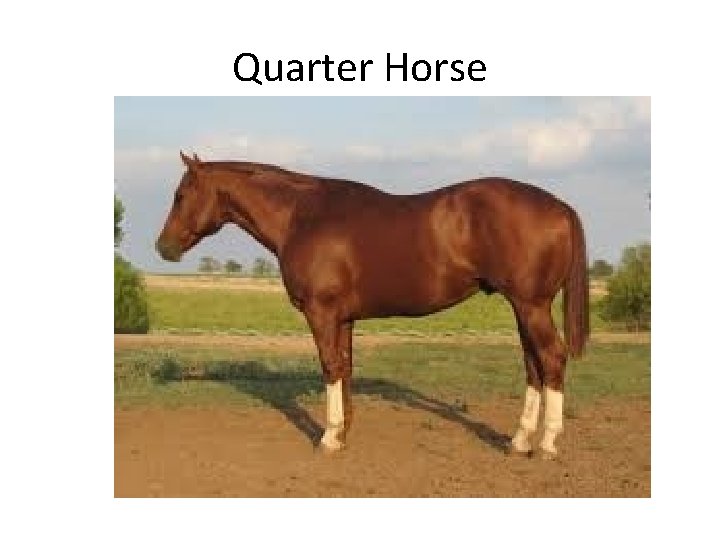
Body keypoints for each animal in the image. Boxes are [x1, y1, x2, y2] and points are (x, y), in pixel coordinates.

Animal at [156, 152, 589, 459]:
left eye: (180, 196)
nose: (163, 247)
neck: (302, 216)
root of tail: (560, 206)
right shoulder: (344, 319)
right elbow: (345, 368)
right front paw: (343, 433)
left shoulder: (321, 313)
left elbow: (330, 367)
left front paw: (328, 439)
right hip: (524, 308)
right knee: (534, 364)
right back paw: (519, 441)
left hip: (531, 306)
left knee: (551, 358)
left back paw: (547, 444)